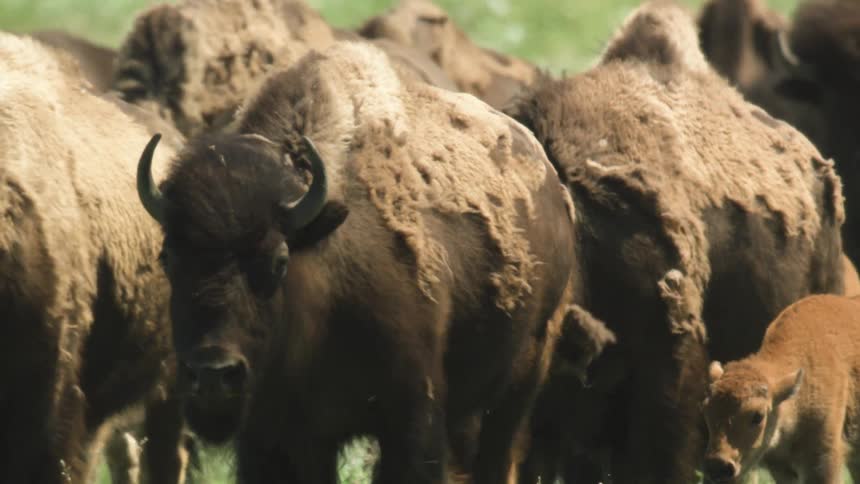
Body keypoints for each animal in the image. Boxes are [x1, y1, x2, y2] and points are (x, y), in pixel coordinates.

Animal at [134, 41, 580, 483]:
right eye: (168, 257)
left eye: (279, 260)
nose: (212, 374)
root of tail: (550, 182)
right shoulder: (279, 435)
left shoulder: (409, 418)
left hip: (519, 382)